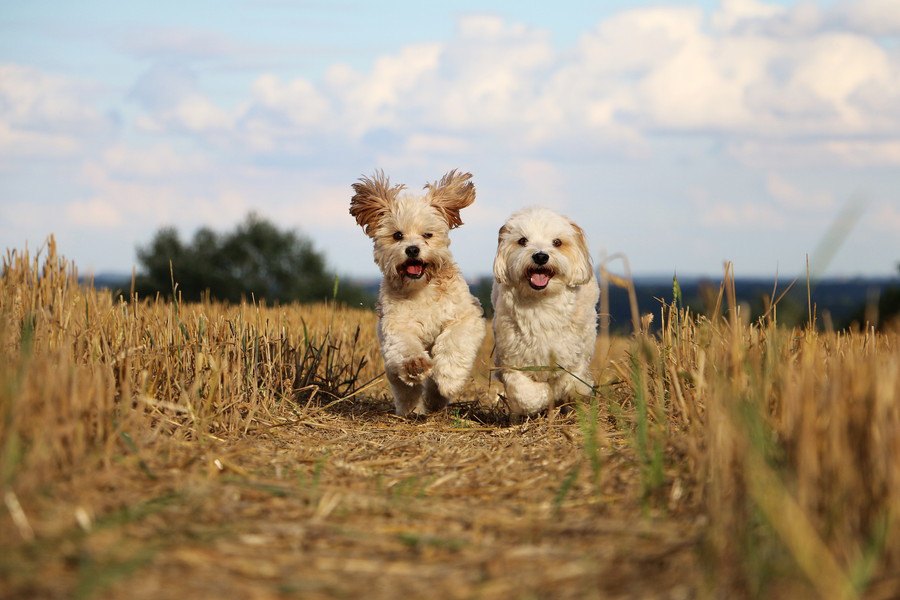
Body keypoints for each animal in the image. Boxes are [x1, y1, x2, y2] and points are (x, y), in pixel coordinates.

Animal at [350, 166, 486, 414]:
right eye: (397, 235)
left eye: (427, 235)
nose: (412, 249)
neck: (422, 289)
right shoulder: (396, 325)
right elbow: (406, 346)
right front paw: (415, 365)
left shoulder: (466, 316)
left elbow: (454, 341)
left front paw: (449, 377)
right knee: (404, 388)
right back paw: (411, 407)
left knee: (433, 386)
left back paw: (436, 397)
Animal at [492, 206, 596, 418]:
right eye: (522, 241)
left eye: (557, 242)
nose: (540, 256)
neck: (541, 301)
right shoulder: (511, 360)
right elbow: (526, 393)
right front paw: (542, 398)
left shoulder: (574, 358)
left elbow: (569, 381)